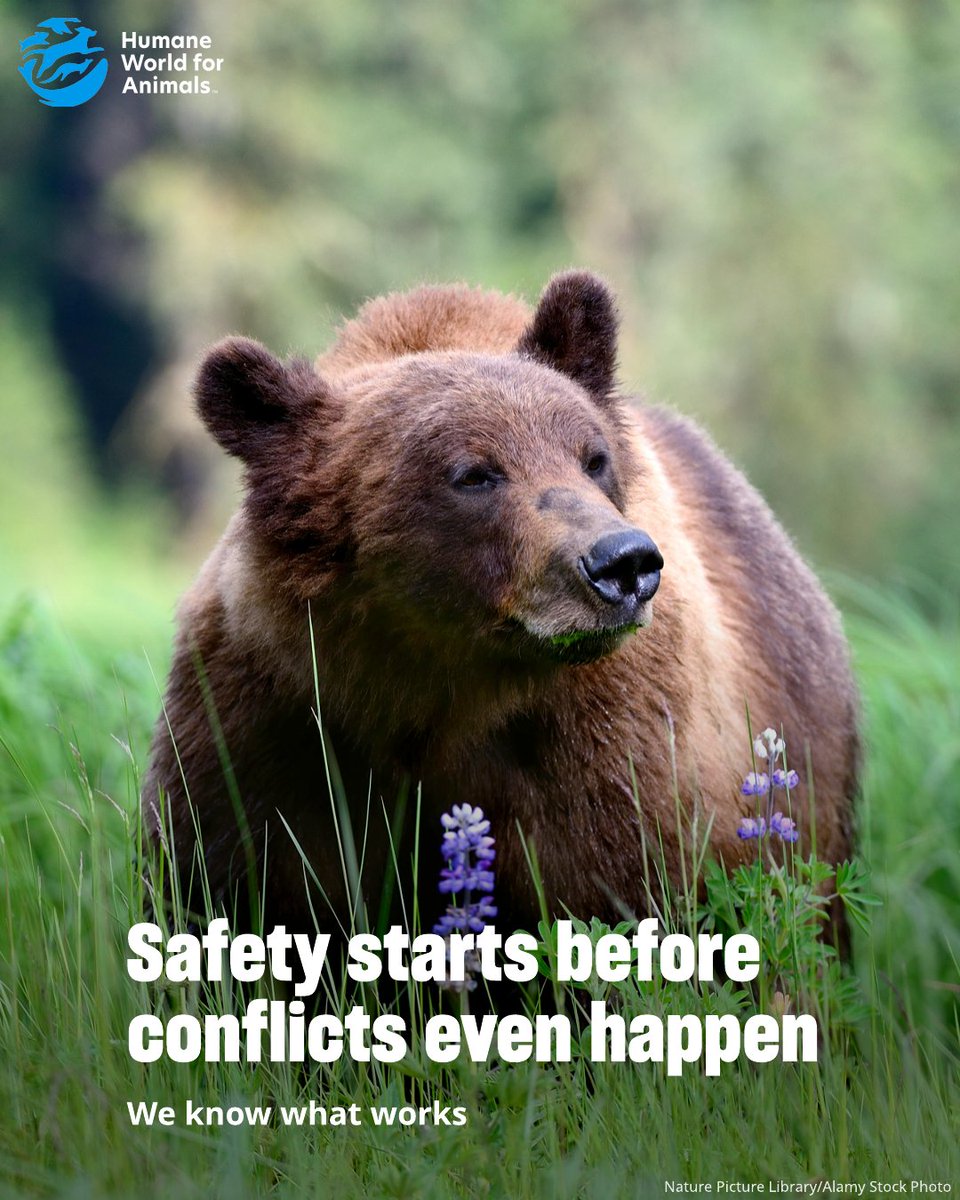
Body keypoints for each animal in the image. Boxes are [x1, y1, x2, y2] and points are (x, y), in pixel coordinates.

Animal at [142, 270, 858, 943]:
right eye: (475, 473)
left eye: (593, 458)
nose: (623, 563)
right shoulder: (268, 728)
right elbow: (238, 893)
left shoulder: (608, 749)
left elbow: (624, 892)